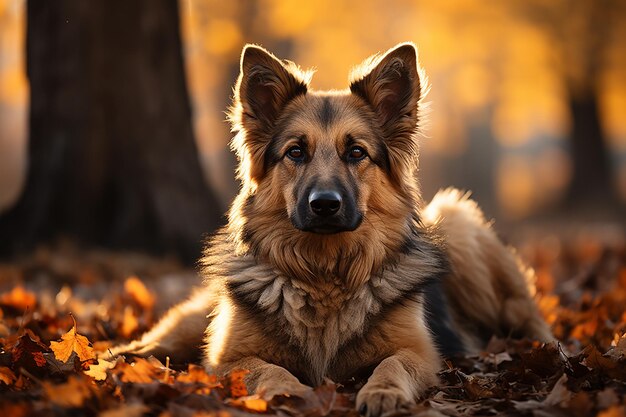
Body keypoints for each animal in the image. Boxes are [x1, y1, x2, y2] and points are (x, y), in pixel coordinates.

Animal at [113, 42, 552, 416]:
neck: (325, 272)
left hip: (459, 219)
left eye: (356, 152)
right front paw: (291, 392)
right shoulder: (227, 359)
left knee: (527, 314)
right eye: (295, 152)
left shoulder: (419, 352)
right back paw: (126, 355)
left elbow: (392, 365)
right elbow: (267, 369)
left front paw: (381, 392)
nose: (324, 205)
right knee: (170, 335)